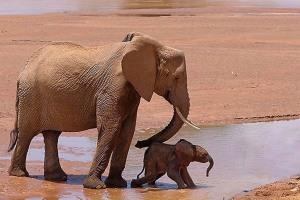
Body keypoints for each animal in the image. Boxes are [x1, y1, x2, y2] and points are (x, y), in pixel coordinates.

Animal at [7, 32, 199, 188]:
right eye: (176, 78)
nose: (140, 143)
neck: (152, 48)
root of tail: (25, 68)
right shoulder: (111, 88)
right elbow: (110, 128)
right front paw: (96, 187)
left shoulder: (131, 89)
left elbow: (127, 130)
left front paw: (118, 185)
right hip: (31, 96)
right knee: (26, 134)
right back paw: (19, 174)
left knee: (51, 135)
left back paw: (57, 178)